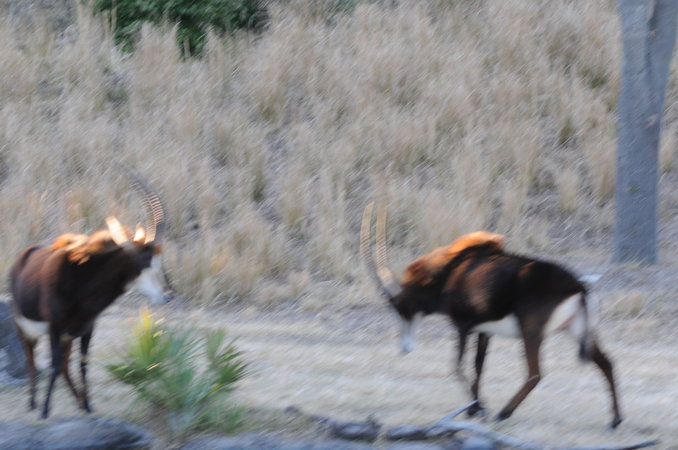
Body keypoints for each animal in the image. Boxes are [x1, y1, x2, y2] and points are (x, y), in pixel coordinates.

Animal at [9, 173, 172, 419]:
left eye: (159, 261)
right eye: (144, 261)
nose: (166, 296)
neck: (81, 279)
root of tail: (20, 261)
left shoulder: (87, 328)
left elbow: (83, 365)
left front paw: (87, 406)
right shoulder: (55, 328)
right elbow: (53, 365)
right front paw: (46, 411)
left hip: (67, 337)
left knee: (65, 366)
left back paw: (76, 400)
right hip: (27, 331)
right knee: (32, 362)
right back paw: (33, 403)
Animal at [360, 203, 622, 429]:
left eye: (398, 306)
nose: (405, 347)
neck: (450, 273)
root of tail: (578, 287)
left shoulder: (462, 326)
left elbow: (457, 367)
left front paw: (480, 409)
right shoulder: (484, 331)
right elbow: (478, 367)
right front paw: (473, 408)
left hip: (532, 332)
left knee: (535, 373)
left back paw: (503, 413)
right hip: (575, 330)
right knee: (606, 363)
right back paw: (615, 420)